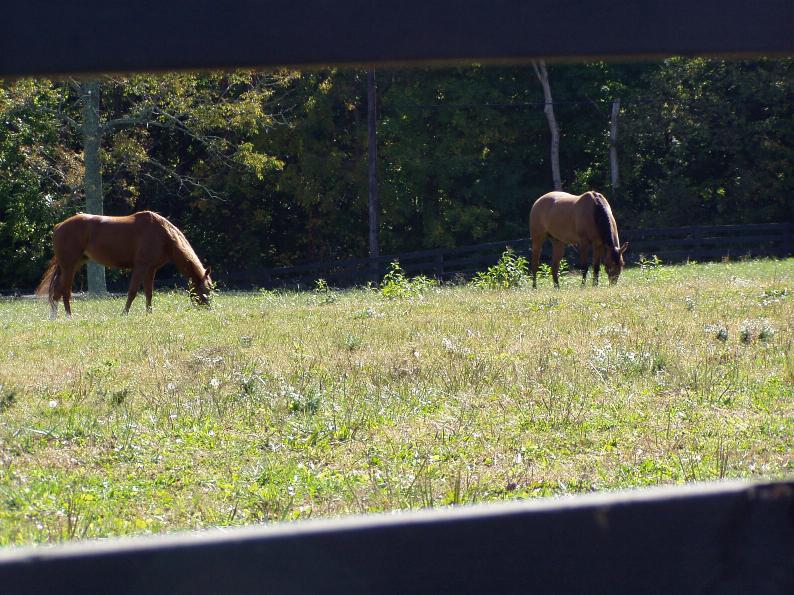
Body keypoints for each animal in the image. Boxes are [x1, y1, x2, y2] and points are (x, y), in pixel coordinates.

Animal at [36, 212, 213, 318]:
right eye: (204, 290)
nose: (209, 309)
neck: (163, 235)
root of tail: (58, 226)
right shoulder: (141, 267)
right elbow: (132, 292)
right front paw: (125, 313)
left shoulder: (151, 269)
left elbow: (149, 293)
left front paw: (149, 313)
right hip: (68, 266)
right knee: (64, 291)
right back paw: (67, 317)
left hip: (73, 265)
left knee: (59, 292)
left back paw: (57, 317)